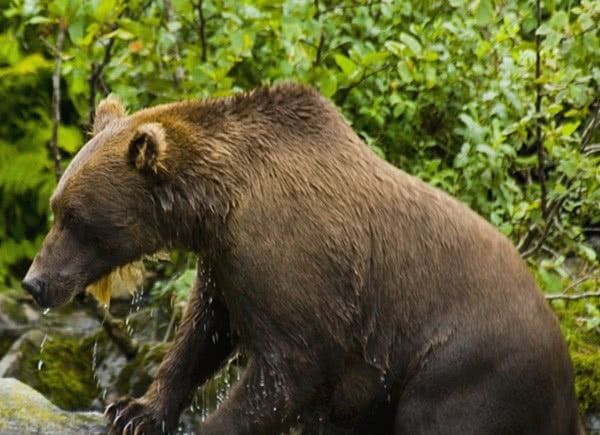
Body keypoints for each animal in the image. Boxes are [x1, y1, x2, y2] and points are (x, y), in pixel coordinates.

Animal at [22, 83, 580, 434]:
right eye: (56, 206)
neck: (219, 205)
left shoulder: (294, 267)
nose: (34, 281)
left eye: (74, 217)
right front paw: (133, 410)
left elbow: (288, 371)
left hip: (465, 366)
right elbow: (201, 335)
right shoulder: (224, 263)